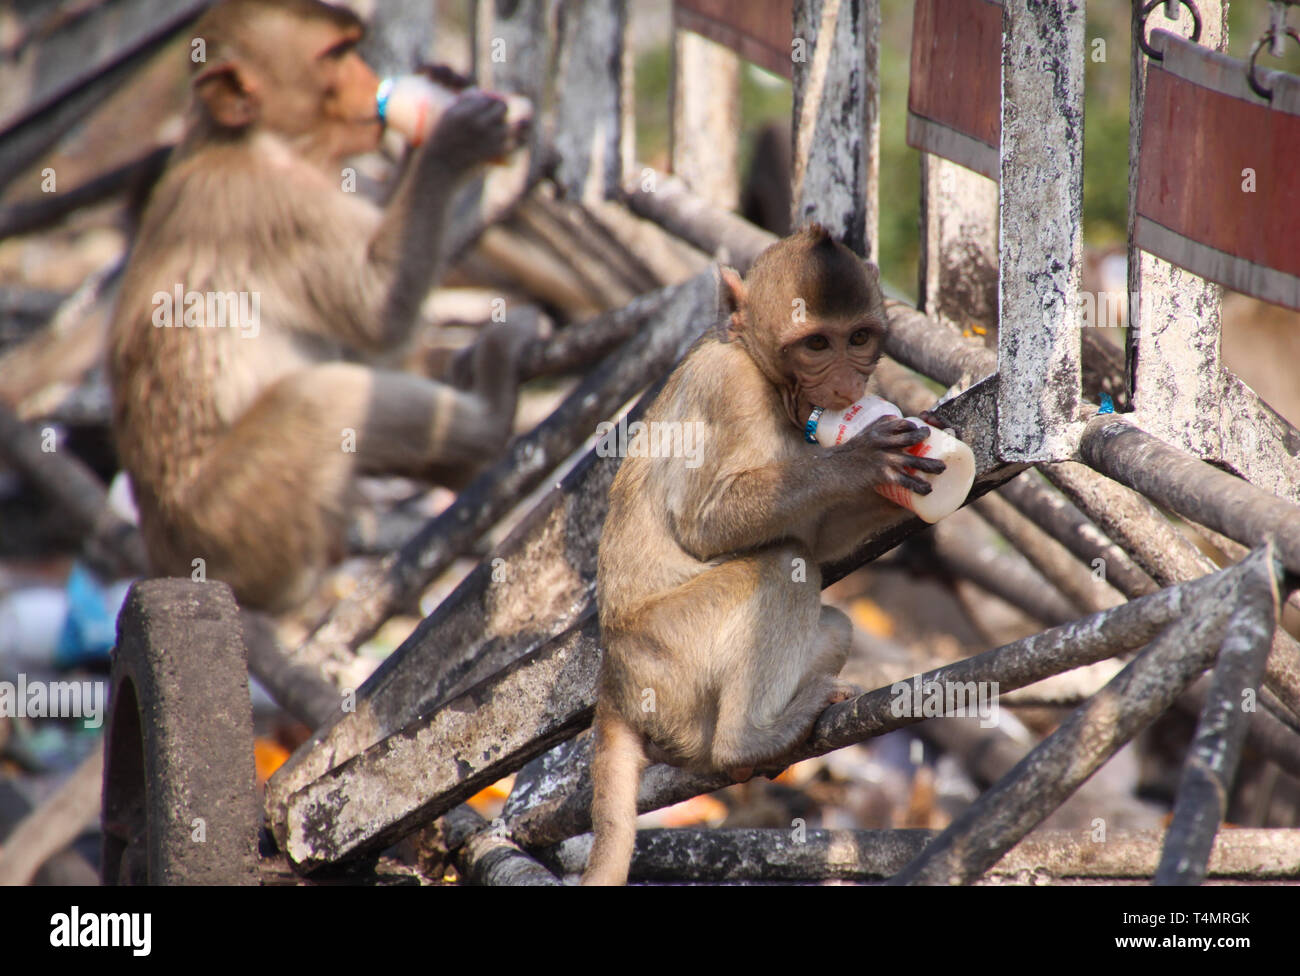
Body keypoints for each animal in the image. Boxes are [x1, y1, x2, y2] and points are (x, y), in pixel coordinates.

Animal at [110, 0, 527, 610]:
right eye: (335, 56)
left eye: (353, 48)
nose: (371, 83)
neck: (248, 141)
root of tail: (163, 554)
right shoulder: (277, 204)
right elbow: (379, 310)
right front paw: (452, 141)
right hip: (236, 521)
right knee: (321, 397)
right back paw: (492, 419)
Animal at [582, 223, 946, 883]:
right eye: (816, 344)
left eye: (859, 338)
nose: (848, 387)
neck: (767, 375)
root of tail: (614, 679)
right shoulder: (732, 391)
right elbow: (706, 522)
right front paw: (859, 460)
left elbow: (821, 537)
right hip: (669, 652)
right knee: (783, 563)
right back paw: (748, 742)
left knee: (832, 620)